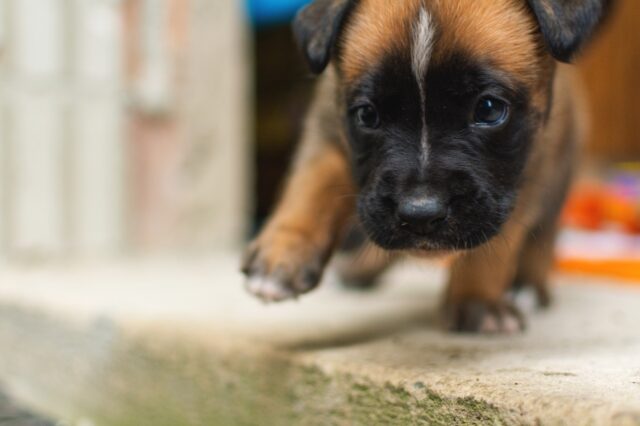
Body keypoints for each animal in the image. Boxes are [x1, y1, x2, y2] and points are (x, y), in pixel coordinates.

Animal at [242, 0, 612, 332]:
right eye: (367, 115)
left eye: (489, 109)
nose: (420, 214)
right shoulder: (328, 125)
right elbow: (313, 184)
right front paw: (282, 255)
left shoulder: (524, 170)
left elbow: (497, 240)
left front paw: (477, 298)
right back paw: (359, 271)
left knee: (544, 235)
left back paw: (529, 286)